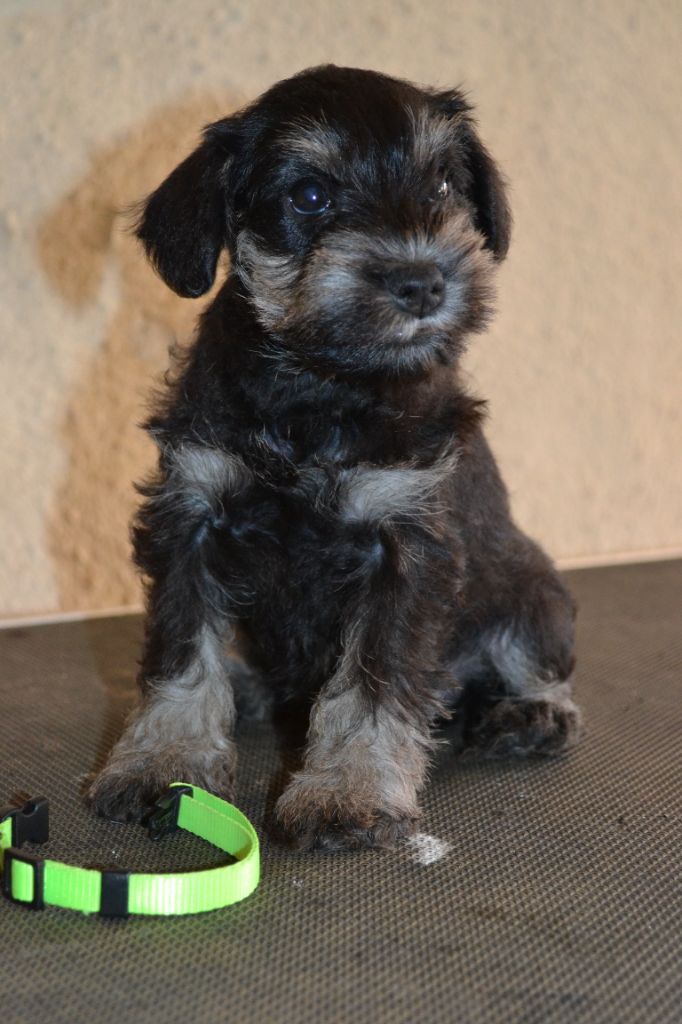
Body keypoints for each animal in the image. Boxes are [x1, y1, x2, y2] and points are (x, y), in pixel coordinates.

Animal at [88, 65, 581, 850]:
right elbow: (180, 654)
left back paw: (527, 715)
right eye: (310, 195)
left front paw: (347, 790)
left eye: (444, 183)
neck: (320, 388)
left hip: (532, 595)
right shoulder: (190, 519)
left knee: (538, 668)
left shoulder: (404, 549)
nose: (422, 282)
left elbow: (375, 682)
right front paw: (163, 758)